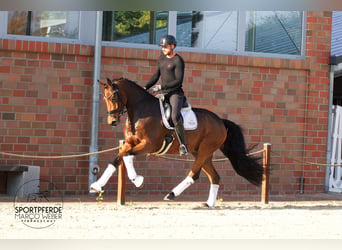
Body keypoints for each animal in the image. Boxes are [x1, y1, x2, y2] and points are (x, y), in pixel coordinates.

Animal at [89, 77, 264, 207]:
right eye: (104, 98)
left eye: (114, 96)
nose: (112, 121)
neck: (139, 111)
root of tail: (221, 121)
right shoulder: (129, 142)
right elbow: (117, 159)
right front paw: (97, 185)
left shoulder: (149, 145)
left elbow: (127, 156)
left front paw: (137, 180)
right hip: (201, 152)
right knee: (214, 177)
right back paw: (209, 203)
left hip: (205, 150)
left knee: (194, 174)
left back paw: (172, 194)